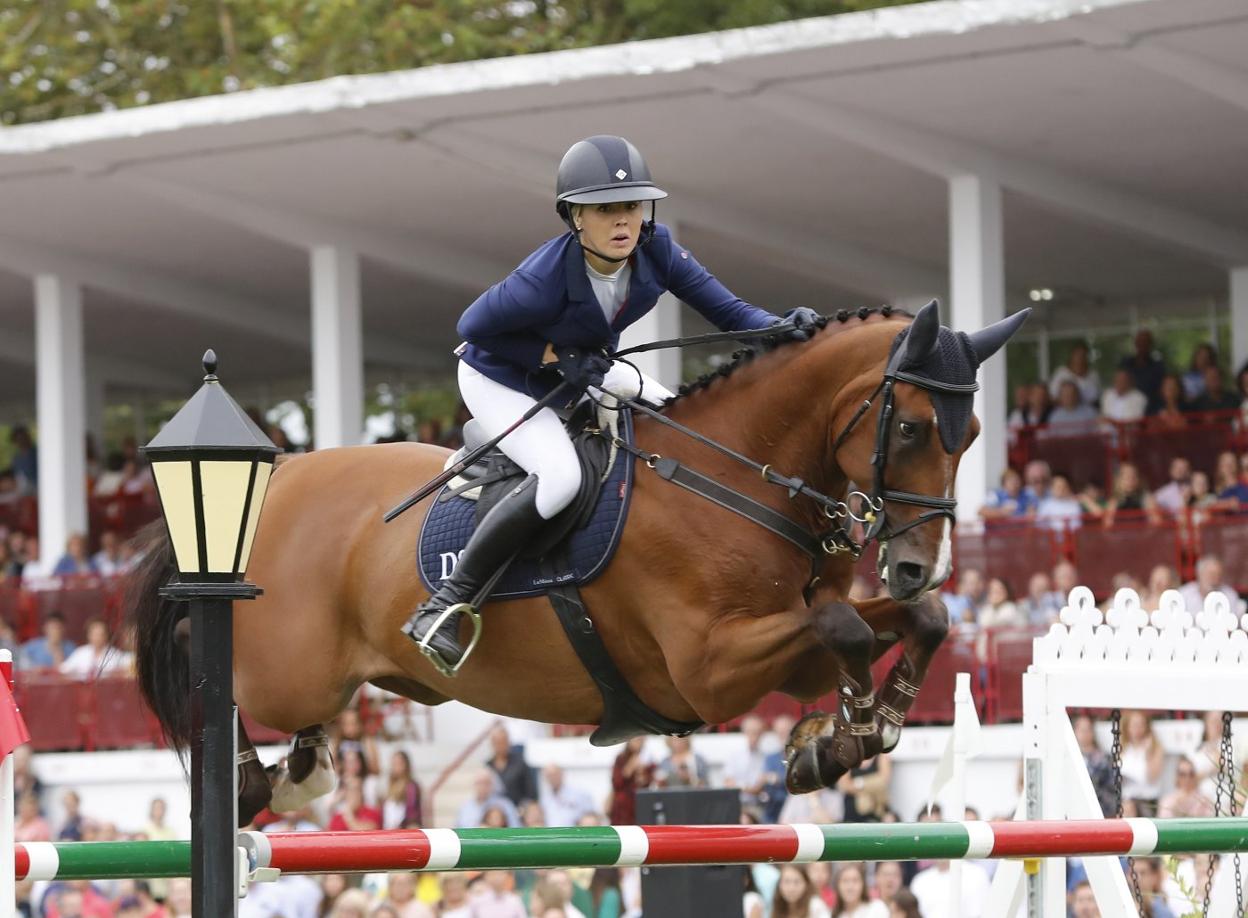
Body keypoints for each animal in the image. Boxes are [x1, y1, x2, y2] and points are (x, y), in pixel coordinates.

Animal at [126, 301, 1028, 823]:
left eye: (975, 436)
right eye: (910, 428)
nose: (917, 565)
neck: (734, 478)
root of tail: (281, 475)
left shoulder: (788, 648)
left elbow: (910, 622)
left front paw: (861, 726)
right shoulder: (708, 670)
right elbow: (845, 628)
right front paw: (845, 735)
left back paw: (301, 772)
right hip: (292, 668)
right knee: (214, 662)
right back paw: (249, 780)